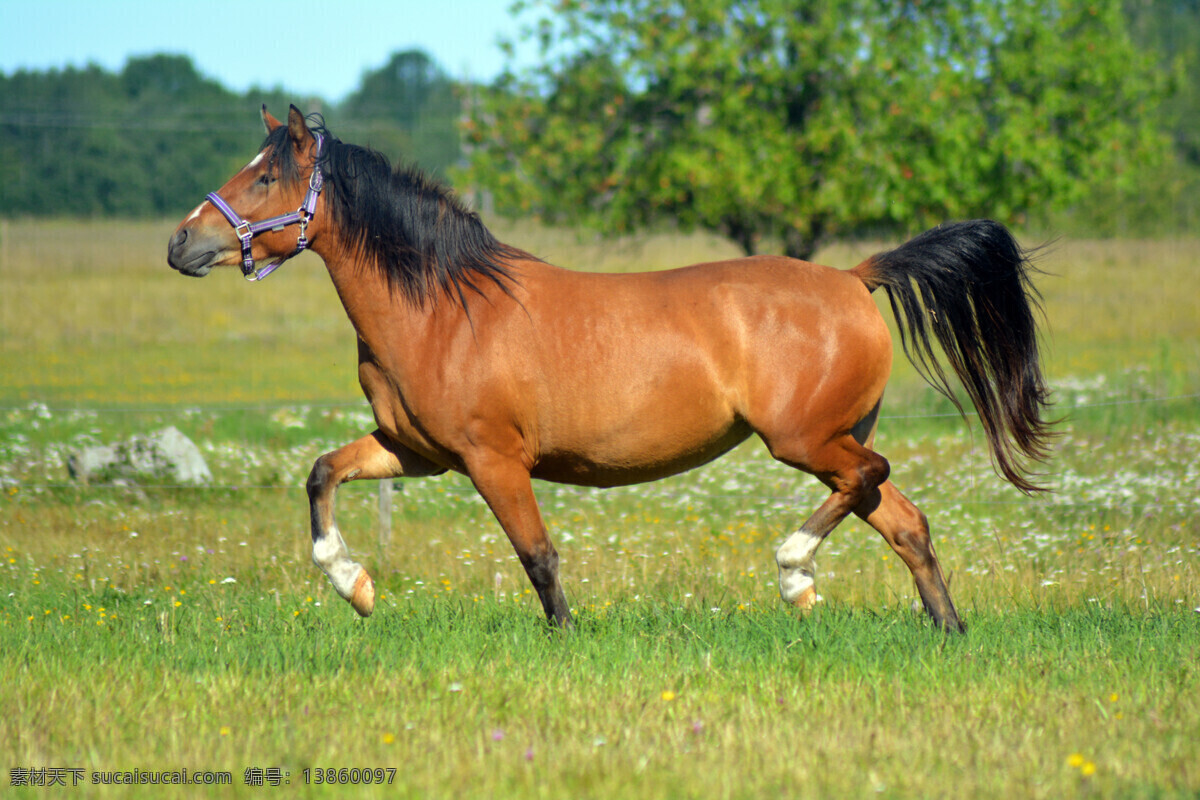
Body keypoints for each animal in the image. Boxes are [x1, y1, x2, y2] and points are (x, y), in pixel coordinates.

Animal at [166, 104, 1051, 633]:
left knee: (872, 478)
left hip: (805, 440)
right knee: (904, 519)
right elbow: (322, 472)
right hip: (828, 440)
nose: (181, 243)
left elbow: (537, 555)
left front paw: (562, 638)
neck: (447, 309)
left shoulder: (493, 459)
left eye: (266, 175)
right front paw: (353, 584)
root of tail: (852, 277)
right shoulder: (416, 451)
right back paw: (946, 630)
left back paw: (795, 574)